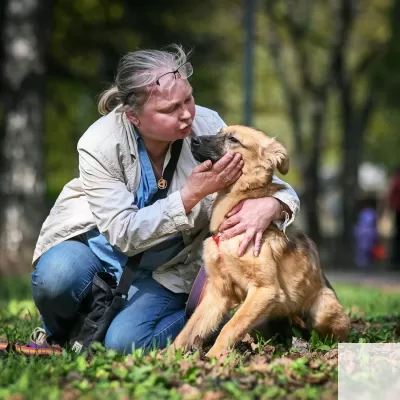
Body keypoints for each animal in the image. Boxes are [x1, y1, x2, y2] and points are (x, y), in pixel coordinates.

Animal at [173, 126, 350, 360]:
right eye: (220, 131)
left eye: (233, 139)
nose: (193, 140)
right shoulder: (218, 293)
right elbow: (188, 330)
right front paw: (166, 356)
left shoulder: (265, 290)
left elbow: (230, 327)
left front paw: (213, 358)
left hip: (321, 308)